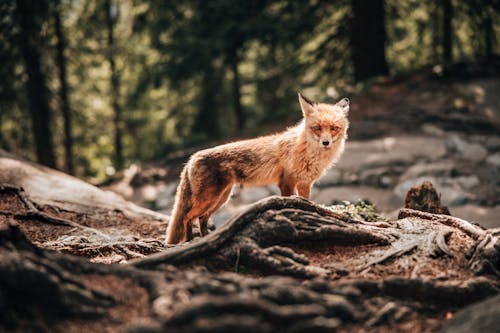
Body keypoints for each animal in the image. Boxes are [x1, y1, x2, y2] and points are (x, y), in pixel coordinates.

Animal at [166, 93, 350, 244]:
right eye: (317, 128)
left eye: (333, 128)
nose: (325, 143)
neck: (305, 152)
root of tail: (192, 157)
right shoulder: (287, 182)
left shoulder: (305, 183)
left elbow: (308, 203)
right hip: (210, 198)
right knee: (187, 218)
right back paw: (189, 241)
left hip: (220, 199)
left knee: (201, 219)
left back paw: (206, 239)